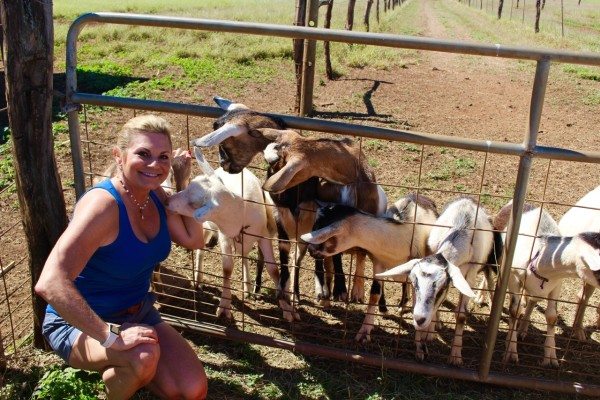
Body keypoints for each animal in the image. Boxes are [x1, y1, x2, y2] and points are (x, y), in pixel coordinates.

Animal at [165, 148, 298, 322]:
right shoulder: (225, 237)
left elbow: (273, 269)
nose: (168, 202)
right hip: (208, 227)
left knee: (244, 255)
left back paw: (247, 286)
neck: (239, 217)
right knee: (201, 249)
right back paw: (198, 278)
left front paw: (287, 308)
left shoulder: (263, 235)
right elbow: (227, 270)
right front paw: (224, 306)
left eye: (193, 204)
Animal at [302, 192, 438, 342]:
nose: (310, 250)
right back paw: (402, 306)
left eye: (323, 235)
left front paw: (426, 334)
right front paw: (365, 330)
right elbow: (374, 293)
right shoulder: (378, 263)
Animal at [380, 197, 496, 366]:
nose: (419, 319)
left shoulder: (470, 275)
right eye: (415, 284)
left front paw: (455, 355)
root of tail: (468, 199)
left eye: (441, 288)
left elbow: (461, 316)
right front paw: (427, 337)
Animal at [494, 203, 600, 366]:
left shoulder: (557, 284)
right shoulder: (513, 277)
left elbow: (551, 316)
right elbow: (515, 310)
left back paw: (522, 330)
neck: (538, 255)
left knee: (532, 300)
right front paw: (511, 352)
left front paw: (551, 357)